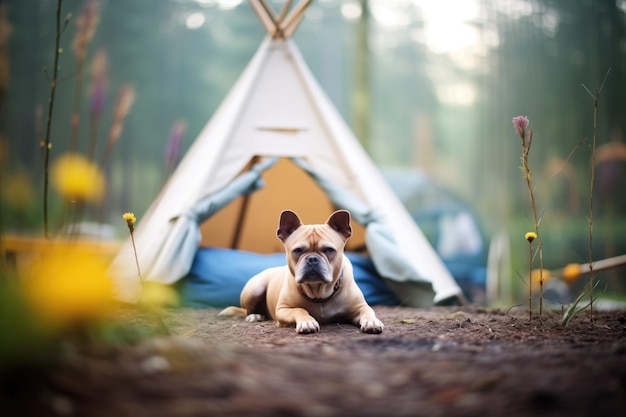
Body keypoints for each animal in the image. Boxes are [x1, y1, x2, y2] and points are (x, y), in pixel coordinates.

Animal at [219, 210, 380, 334]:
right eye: (297, 251)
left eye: (329, 250)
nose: (312, 259)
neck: (319, 293)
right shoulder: (283, 310)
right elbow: (300, 310)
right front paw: (307, 322)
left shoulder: (358, 307)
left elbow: (368, 311)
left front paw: (372, 321)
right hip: (255, 288)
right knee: (248, 310)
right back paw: (255, 316)